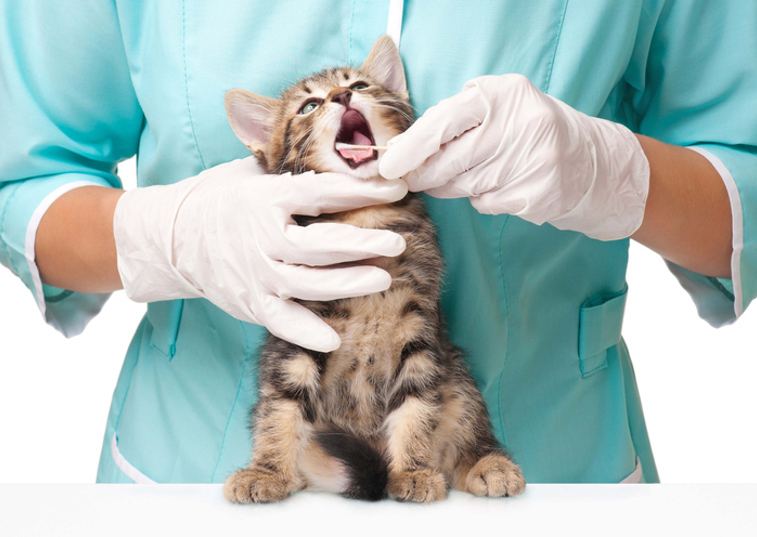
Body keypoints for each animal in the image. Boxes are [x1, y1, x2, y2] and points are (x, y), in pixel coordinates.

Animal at [221, 35, 524, 500]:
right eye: (309, 106)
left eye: (359, 85)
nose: (342, 96)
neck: (365, 218)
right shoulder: (298, 332)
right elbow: (280, 408)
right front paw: (268, 472)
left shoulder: (419, 325)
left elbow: (417, 405)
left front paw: (412, 470)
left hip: (457, 375)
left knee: (466, 419)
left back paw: (486, 463)